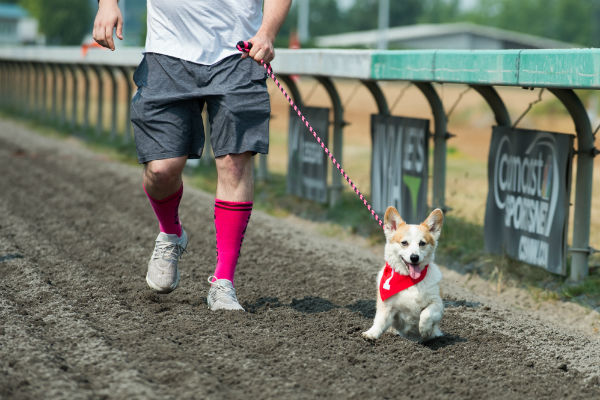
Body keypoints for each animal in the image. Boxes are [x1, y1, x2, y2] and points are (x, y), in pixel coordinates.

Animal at [364, 206, 442, 340]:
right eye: (404, 243)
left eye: (422, 243)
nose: (414, 257)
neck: (410, 280)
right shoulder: (387, 307)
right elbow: (379, 321)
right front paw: (371, 333)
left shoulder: (438, 304)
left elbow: (426, 313)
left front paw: (425, 330)